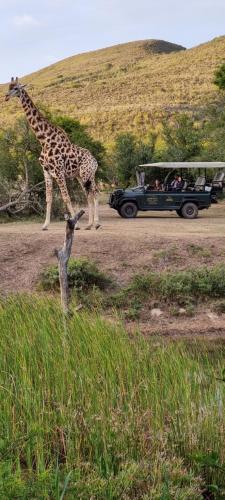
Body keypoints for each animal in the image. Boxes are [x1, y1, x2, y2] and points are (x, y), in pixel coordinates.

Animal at [5, 76, 100, 230]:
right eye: (9, 87)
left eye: (16, 88)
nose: (6, 96)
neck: (44, 140)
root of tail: (95, 160)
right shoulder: (46, 171)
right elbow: (48, 198)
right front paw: (45, 224)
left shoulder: (59, 171)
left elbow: (66, 197)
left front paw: (75, 224)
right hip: (80, 176)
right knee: (89, 195)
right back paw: (90, 224)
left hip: (88, 174)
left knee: (95, 192)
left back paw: (96, 224)